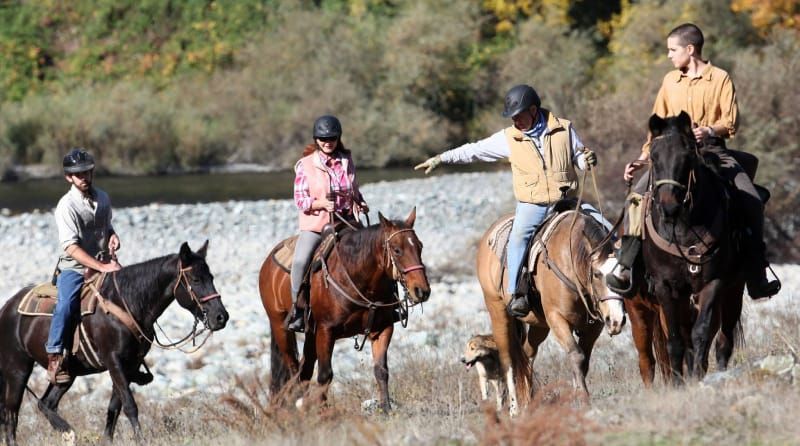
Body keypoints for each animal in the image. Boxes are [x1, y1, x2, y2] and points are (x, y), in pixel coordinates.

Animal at [0, 242, 230, 444]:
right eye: (195, 279)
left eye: (211, 277)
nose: (221, 317)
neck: (127, 302)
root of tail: (7, 307)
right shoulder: (114, 362)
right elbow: (130, 405)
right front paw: (141, 441)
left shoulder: (129, 366)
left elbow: (114, 408)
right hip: (17, 369)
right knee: (11, 413)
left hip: (67, 374)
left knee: (45, 403)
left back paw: (68, 434)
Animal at [260, 208, 428, 412]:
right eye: (397, 250)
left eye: (420, 246)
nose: (422, 290)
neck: (356, 277)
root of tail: (268, 263)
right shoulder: (326, 330)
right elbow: (325, 375)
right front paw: (323, 412)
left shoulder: (383, 328)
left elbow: (381, 370)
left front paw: (387, 410)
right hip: (281, 328)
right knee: (293, 369)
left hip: (310, 334)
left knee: (304, 370)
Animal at [476, 207, 624, 416]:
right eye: (597, 274)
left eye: (625, 272)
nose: (617, 321)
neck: (570, 260)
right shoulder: (557, 318)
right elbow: (576, 355)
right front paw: (584, 400)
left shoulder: (594, 327)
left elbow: (584, 361)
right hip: (498, 311)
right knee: (508, 361)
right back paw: (514, 409)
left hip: (539, 325)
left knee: (527, 355)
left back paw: (528, 402)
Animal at [632, 111, 752, 384]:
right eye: (653, 157)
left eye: (686, 157)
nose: (668, 207)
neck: (682, 230)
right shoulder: (665, 287)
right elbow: (675, 340)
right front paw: (679, 383)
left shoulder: (713, 284)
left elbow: (702, 335)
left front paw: (697, 377)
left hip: (733, 289)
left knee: (723, 339)